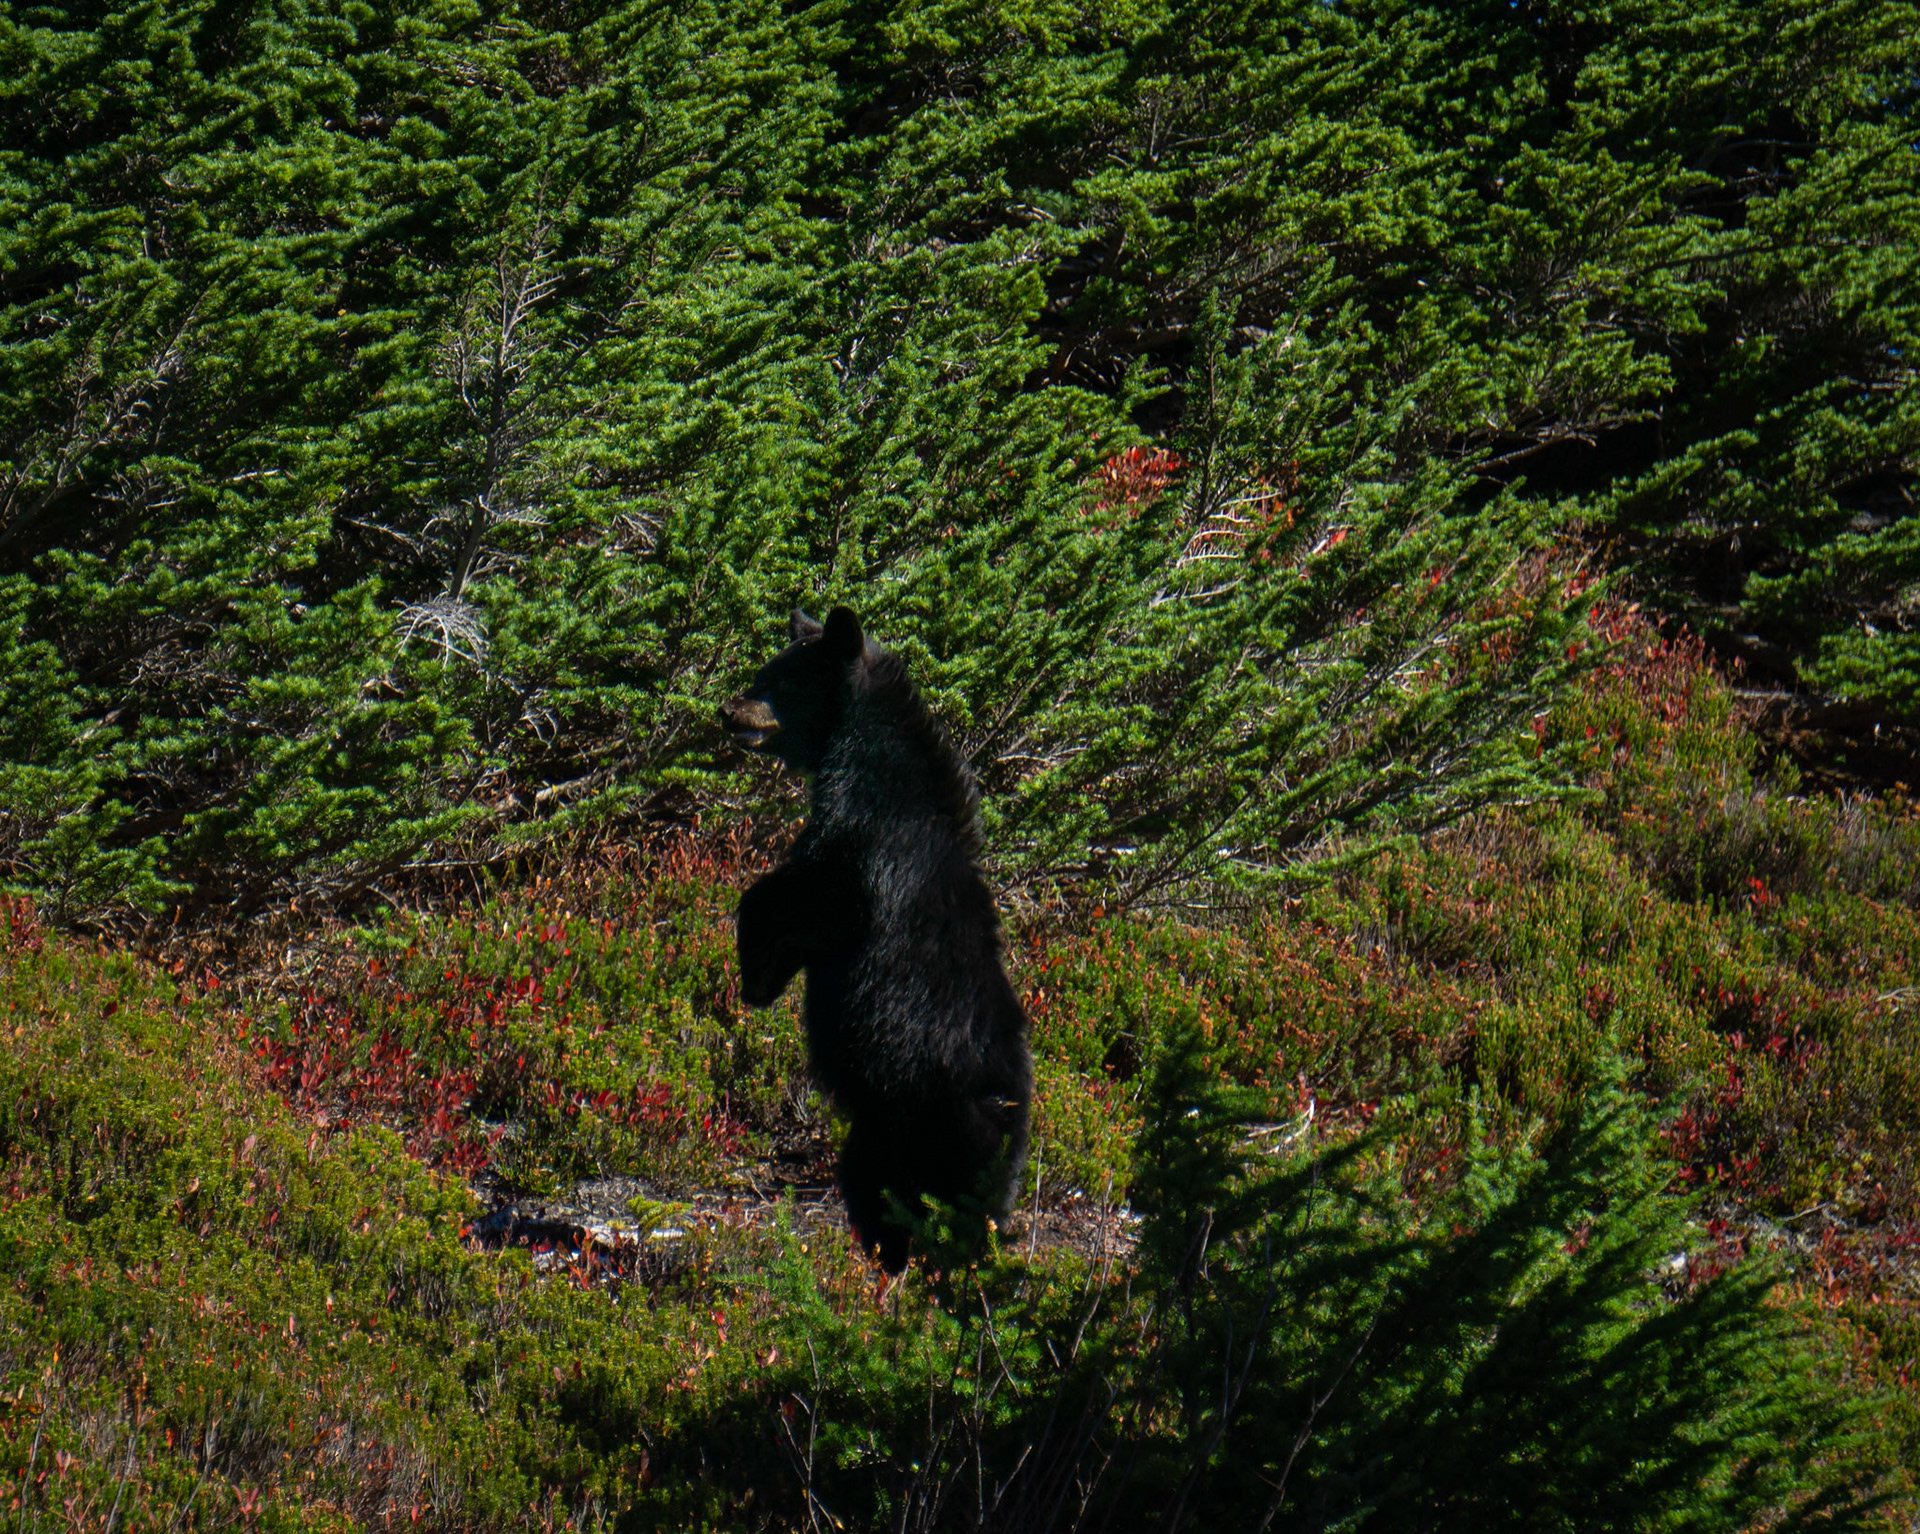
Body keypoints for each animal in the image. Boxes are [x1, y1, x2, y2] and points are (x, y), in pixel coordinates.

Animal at [720, 605, 1032, 1272]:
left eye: (777, 680)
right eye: (763, 672)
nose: (730, 711)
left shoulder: (865, 841)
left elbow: (800, 896)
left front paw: (755, 963)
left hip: (906, 1124)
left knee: (883, 1195)